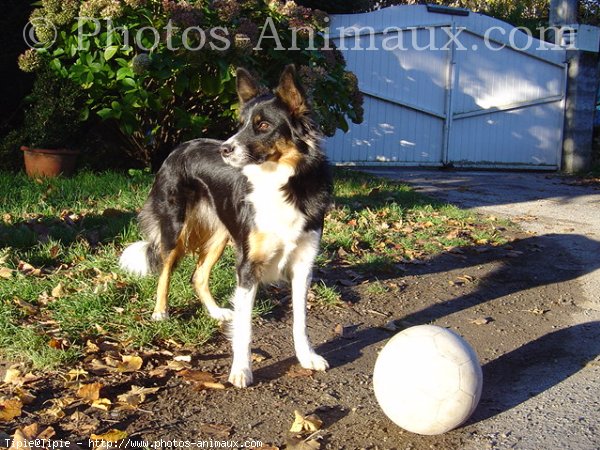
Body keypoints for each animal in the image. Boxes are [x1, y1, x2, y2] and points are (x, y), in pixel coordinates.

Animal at [117, 65, 332, 388]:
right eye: (241, 124)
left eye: (263, 125)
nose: (225, 150)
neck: (282, 182)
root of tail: (178, 148)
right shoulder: (248, 265)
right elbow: (245, 328)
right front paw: (241, 370)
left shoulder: (303, 264)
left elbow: (300, 320)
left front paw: (307, 356)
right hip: (175, 228)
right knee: (165, 271)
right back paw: (160, 312)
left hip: (221, 235)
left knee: (197, 276)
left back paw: (216, 312)